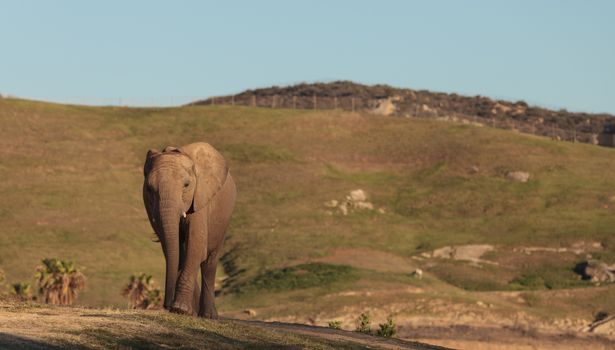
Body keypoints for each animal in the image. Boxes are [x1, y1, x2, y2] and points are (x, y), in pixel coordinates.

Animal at [143, 142, 237, 318]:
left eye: (186, 185)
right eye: (149, 189)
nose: (166, 305)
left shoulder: (200, 198)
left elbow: (196, 246)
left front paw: (180, 309)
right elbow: (175, 250)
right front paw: (183, 310)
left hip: (224, 220)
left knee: (209, 263)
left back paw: (208, 316)